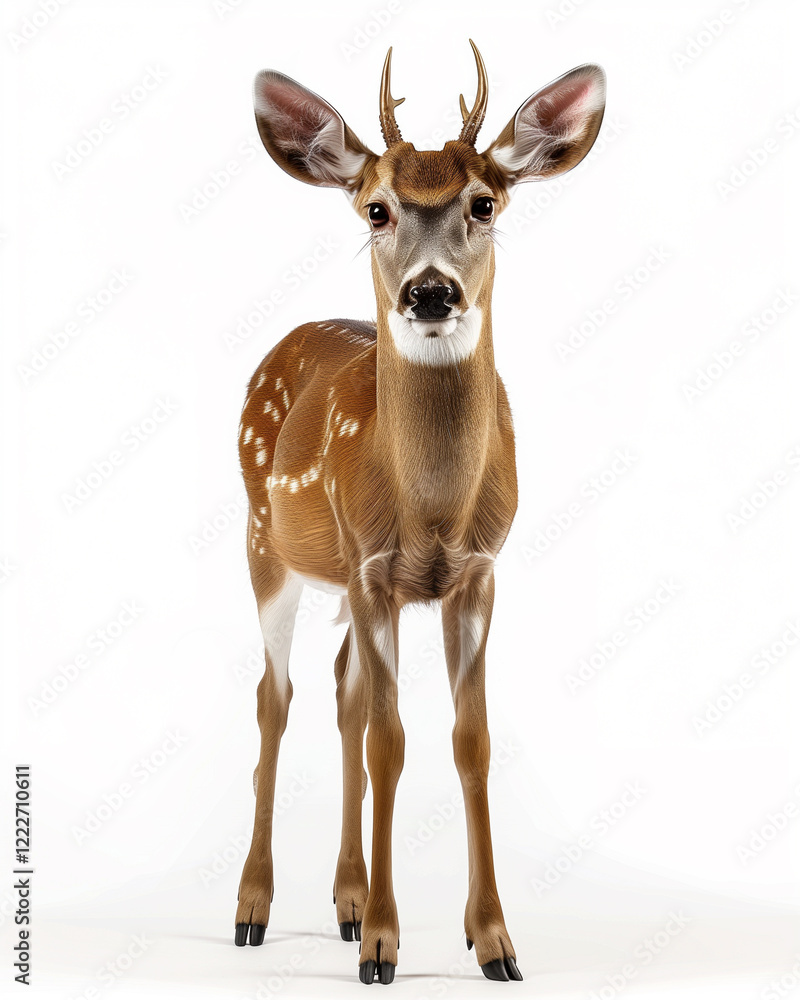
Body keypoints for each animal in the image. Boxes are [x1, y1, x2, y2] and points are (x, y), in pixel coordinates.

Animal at [234, 41, 606, 985]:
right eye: (378, 208)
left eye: (484, 202)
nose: (430, 293)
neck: (432, 508)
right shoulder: (373, 569)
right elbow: (390, 743)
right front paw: (383, 948)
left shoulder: (475, 573)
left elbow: (467, 740)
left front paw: (494, 942)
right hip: (266, 548)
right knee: (276, 694)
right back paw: (254, 907)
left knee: (341, 692)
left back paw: (343, 900)